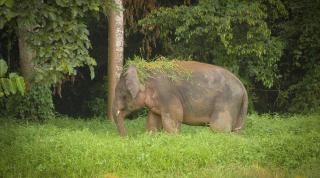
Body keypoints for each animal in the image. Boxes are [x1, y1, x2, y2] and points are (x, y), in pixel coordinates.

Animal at [111, 60, 249, 136]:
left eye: (122, 94)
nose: (126, 138)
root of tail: (243, 87)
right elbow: (153, 121)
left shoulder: (167, 94)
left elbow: (174, 118)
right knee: (235, 131)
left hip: (226, 102)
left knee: (218, 128)